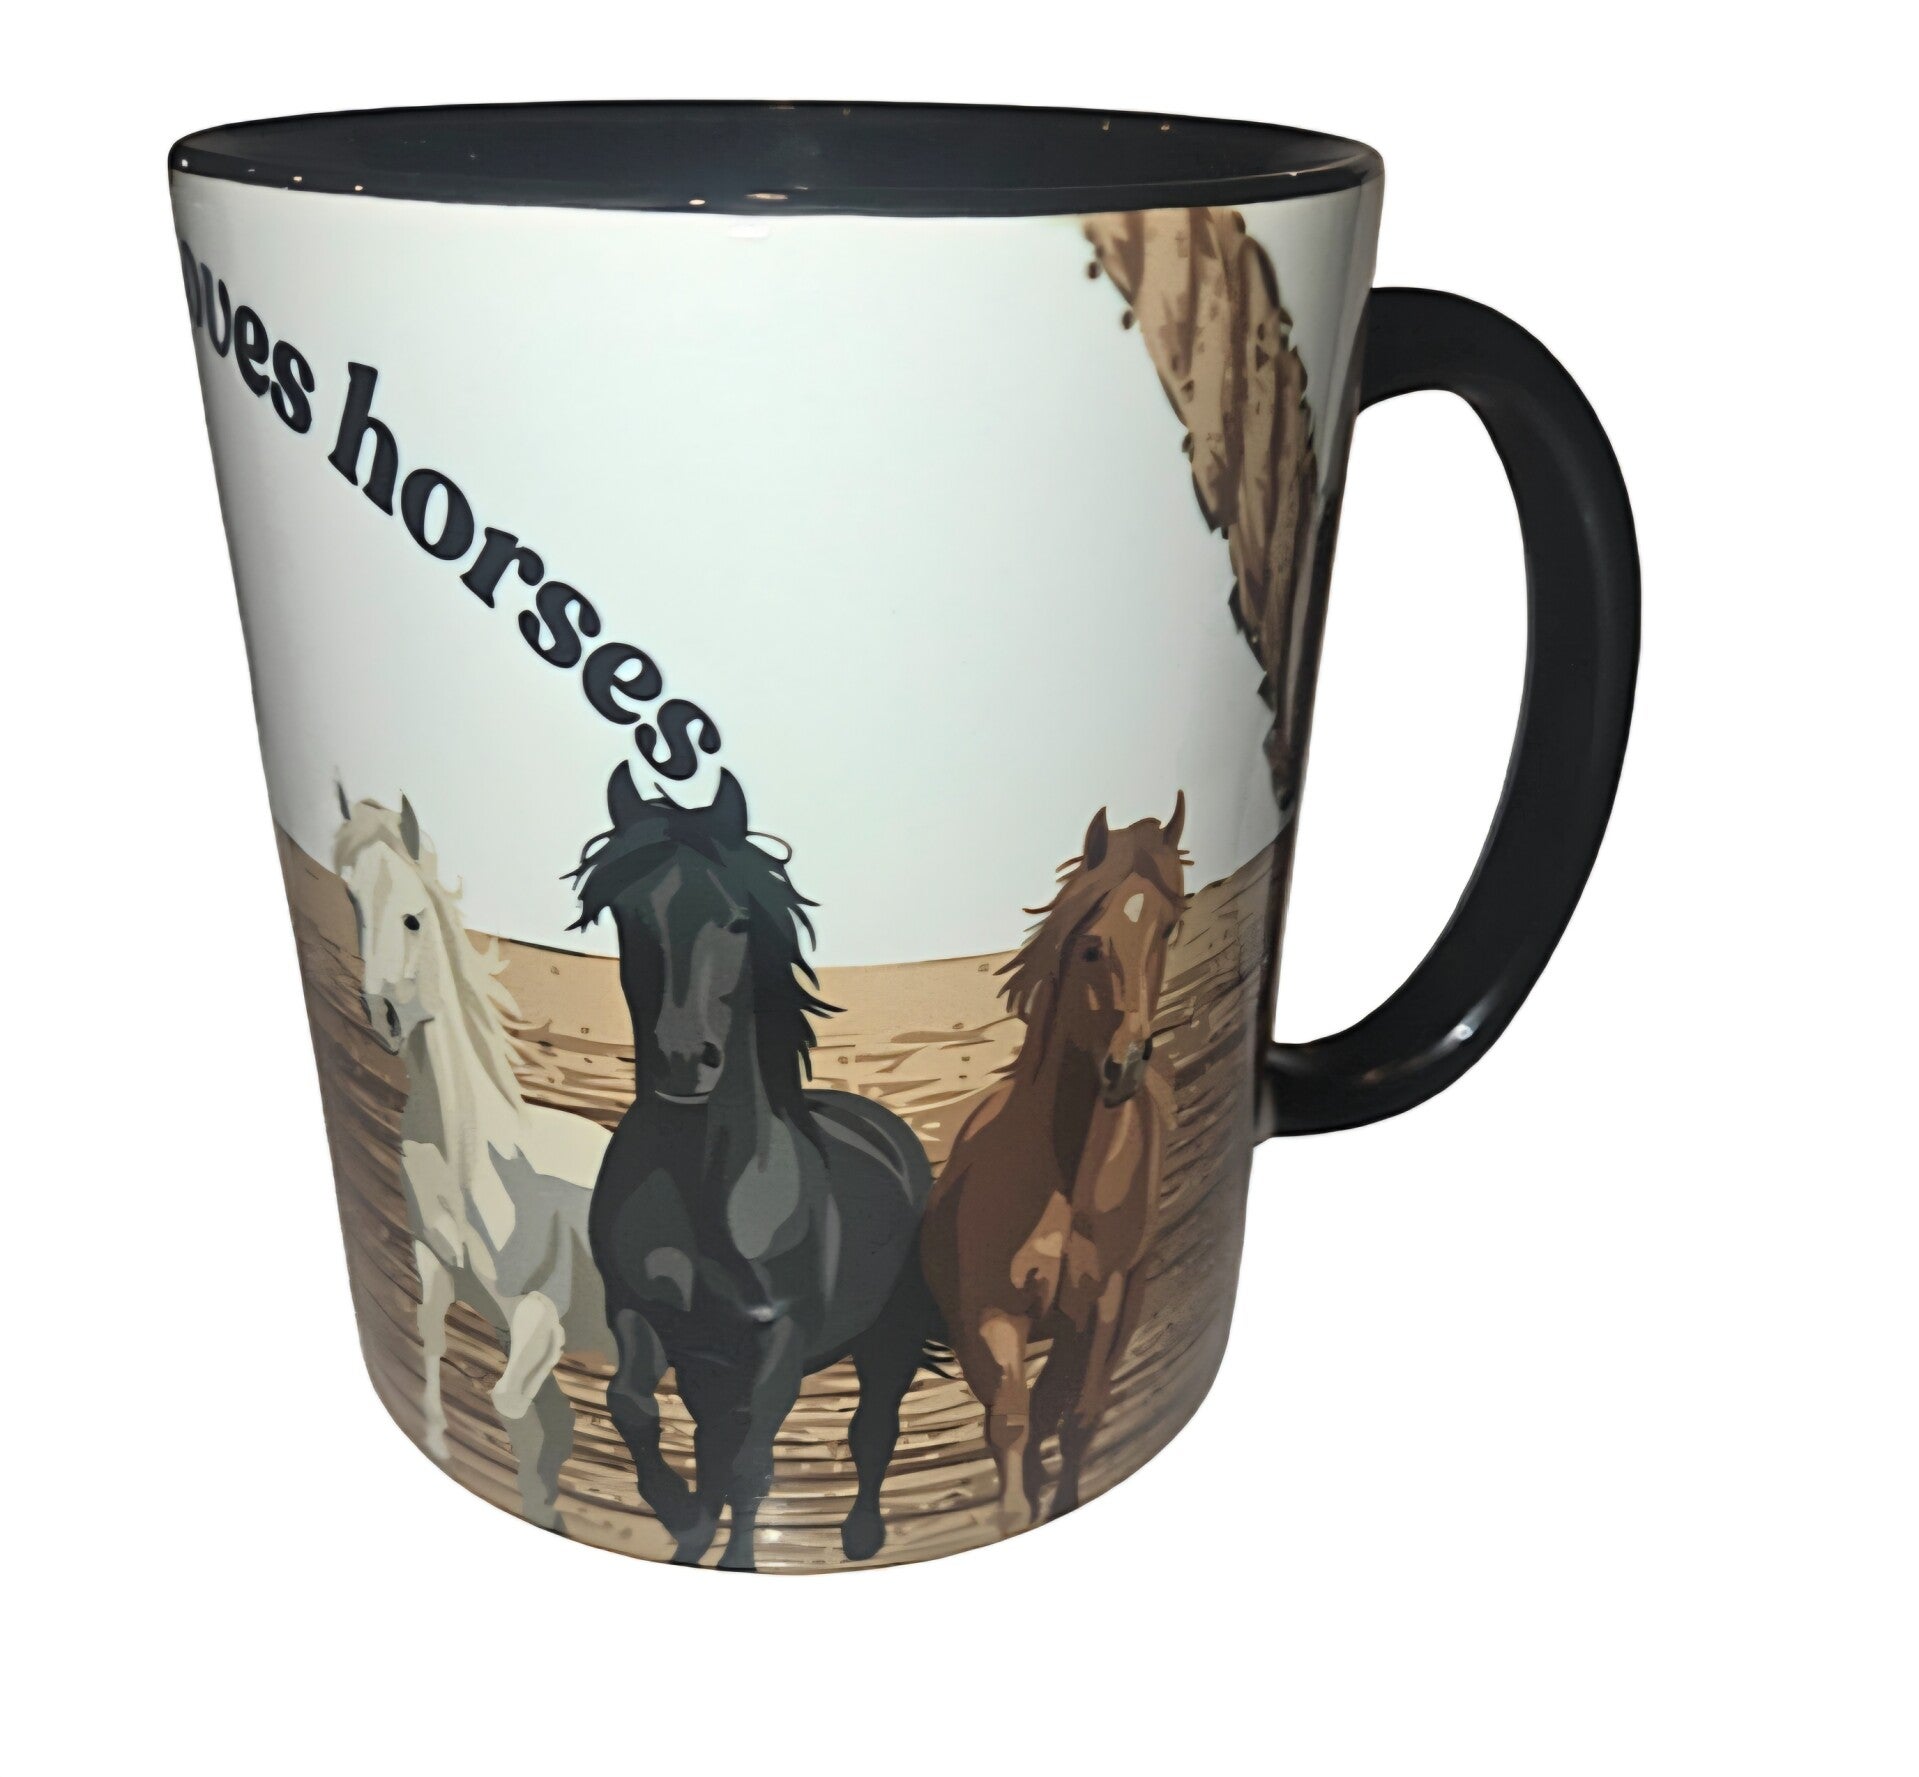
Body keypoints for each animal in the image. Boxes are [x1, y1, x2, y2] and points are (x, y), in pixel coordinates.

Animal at [333, 788, 612, 1532]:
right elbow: (431, 1343)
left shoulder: (539, 1317)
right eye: (352, 902)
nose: (384, 1017)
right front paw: (438, 1438)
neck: (473, 1155)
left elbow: (516, 1409)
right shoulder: (435, 1268)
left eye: (413, 916)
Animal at [571, 763, 939, 1570]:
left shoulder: (780, 1340)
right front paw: (681, 1521)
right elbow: (633, 1408)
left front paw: (734, 1556)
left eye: (739, 919)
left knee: (873, 1427)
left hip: (888, 1334)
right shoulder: (642, 1315)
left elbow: (750, 1469)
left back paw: (862, 1535)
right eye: (625, 914)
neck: (708, 1184)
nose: (685, 1061)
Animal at [920, 797, 1187, 1537]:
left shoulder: (1103, 1303)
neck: (1069, 1176)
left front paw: (1061, 1496)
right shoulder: (993, 1313)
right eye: (1090, 945)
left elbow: (1077, 1419)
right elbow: (1011, 1426)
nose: (1125, 1066)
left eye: (1169, 928)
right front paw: (1016, 1515)